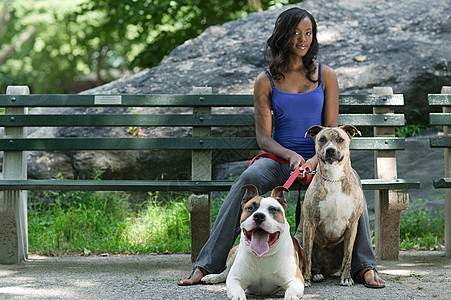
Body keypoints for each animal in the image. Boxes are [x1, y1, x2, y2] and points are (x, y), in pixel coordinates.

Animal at [294, 124, 366, 286]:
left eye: (341, 139)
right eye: (322, 139)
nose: (330, 150)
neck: (334, 178)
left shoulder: (352, 224)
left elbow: (348, 256)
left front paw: (346, 278)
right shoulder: (310, 223)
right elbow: (307, 256)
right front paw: (306, 279)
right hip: (299, 238)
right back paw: (313, 275)